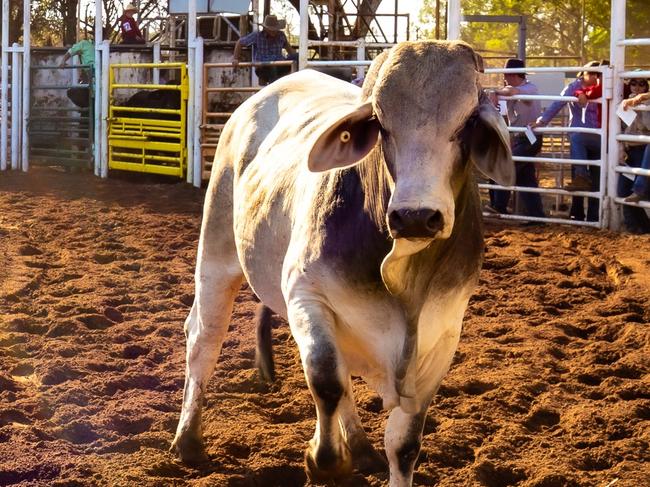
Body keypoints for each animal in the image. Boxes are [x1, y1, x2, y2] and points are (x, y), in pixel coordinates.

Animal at [170, 40, 512, 486]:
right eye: (381, 123)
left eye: (468, 121)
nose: (416, 216)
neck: (402, 274)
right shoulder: (306, 296)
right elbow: (326, 380)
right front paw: (323, 460)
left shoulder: (444, 331)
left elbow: (405, 442)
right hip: (217, 253)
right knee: (203, 341)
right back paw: (188, 439)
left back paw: (362, 448)